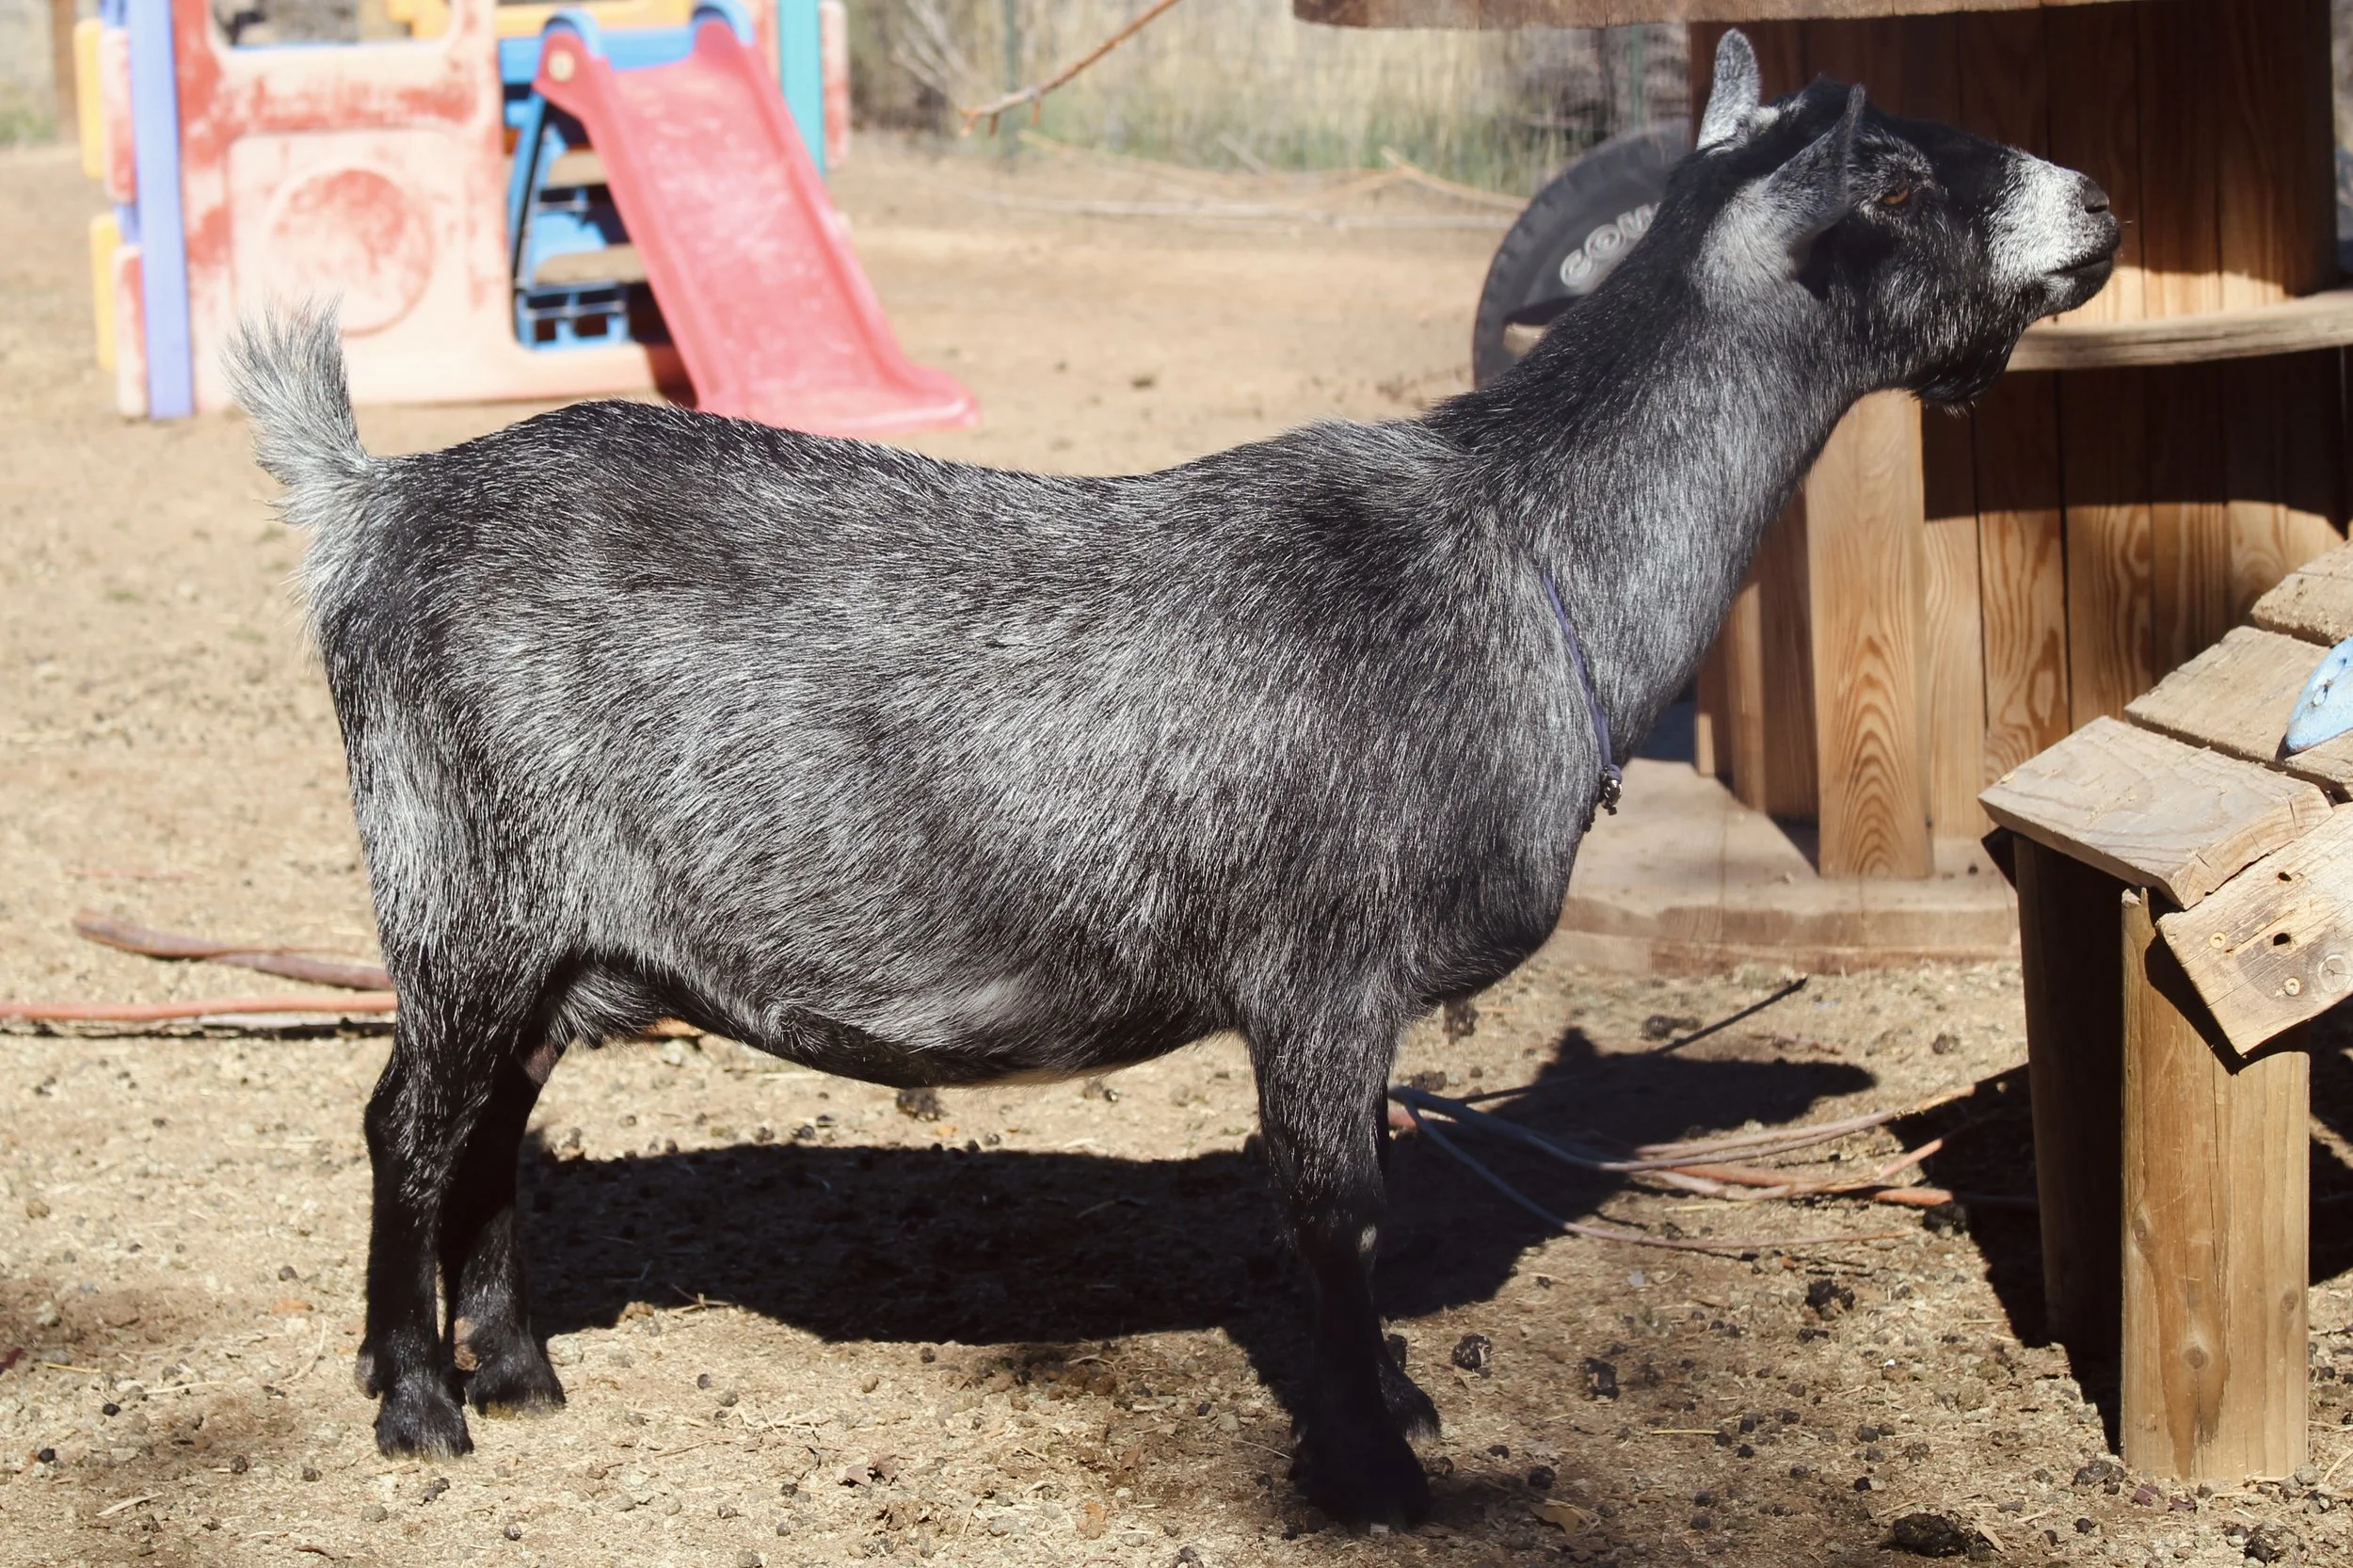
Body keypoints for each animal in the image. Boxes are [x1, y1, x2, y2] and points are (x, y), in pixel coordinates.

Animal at [227, 31, 2116, 1525]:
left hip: (553, 939)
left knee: (492, 1128)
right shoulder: (1321, 972)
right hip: (461, 891)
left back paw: (519, 1370)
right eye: (1891, 176)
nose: (2096, 203)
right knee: (408, 1121)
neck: (1523, 549)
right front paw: (1378, 1472)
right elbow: (1338, 1215)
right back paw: (417, 1404)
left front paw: (1403, 1404)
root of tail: (371, 504)